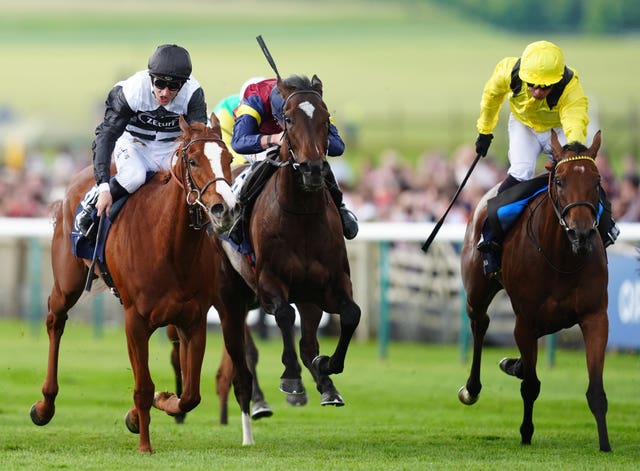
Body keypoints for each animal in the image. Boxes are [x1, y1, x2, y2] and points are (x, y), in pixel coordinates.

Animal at [30, 114, 255, 454]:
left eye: (228, 159)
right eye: (193, 160)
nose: (225, 208)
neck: (170, 246)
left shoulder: (194, 320)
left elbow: (190, 394)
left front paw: (161, 403)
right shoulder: (135, 319)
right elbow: (143, 387)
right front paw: (145, 445)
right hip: (67, 283)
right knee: (55, 320)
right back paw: (45, 406)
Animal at [221, 75, 362, 408]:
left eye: (326, 118)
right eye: (287, 119)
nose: (313, 169)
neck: (302, 217)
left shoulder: (330, 283)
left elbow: (351, 315)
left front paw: (327, 366)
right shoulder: (269, 281)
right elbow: (285, 315)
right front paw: (291, 378)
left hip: (306, 295)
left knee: (307, 342)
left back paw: (327, 386)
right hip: (233, 290)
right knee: (244, 347)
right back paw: (258, 401)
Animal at [460, 130, 608, 454]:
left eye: (597, 181)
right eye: (560, 181)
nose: (581, 233)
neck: (561, 257)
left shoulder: (595, 317)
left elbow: (596, 391)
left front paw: (605, 444)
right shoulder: (525, 320)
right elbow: (531, 386)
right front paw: (526, 433)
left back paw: (513, 364)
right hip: (477, 291)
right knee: (480, 323)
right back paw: (472, 388)